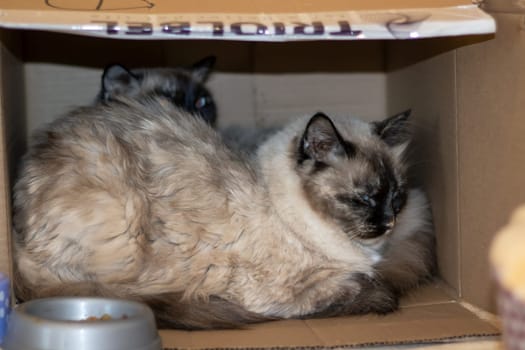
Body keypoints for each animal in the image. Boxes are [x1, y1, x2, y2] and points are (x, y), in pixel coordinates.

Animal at [13, 92, 434, 328]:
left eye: (397, 197)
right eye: (363, 199)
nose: (388, 222)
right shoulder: (281, 294)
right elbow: (358, 286)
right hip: (123, 226)